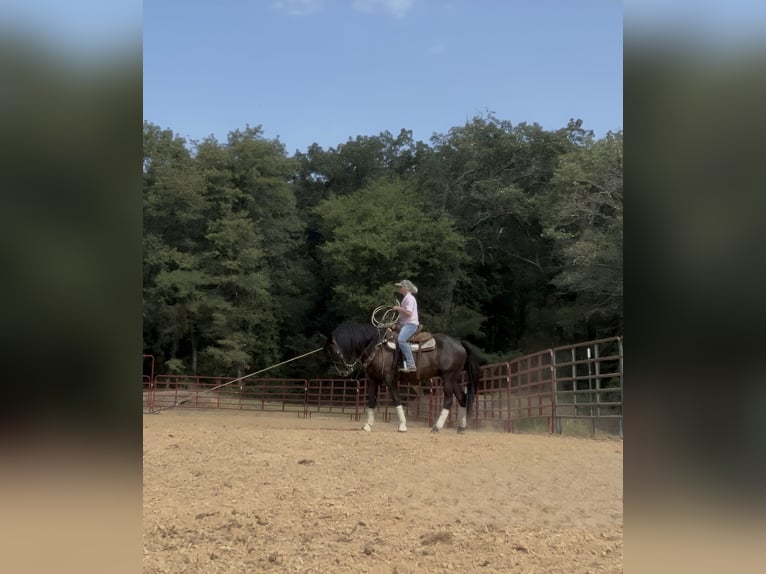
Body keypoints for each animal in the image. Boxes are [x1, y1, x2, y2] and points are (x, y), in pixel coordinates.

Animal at [324, 323, 480, 433]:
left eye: (332, 351)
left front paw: (403, 426)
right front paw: (367, 425)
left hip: (448, 378)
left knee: (448, 401)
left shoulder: (389, 379)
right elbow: (372, 402)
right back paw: (461, 428)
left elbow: (396, 399)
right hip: (452, 379)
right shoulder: (373, 381)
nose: (343, 372)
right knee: (462, 398)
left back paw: (436, 427)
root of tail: (459, 344)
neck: (377, 347)